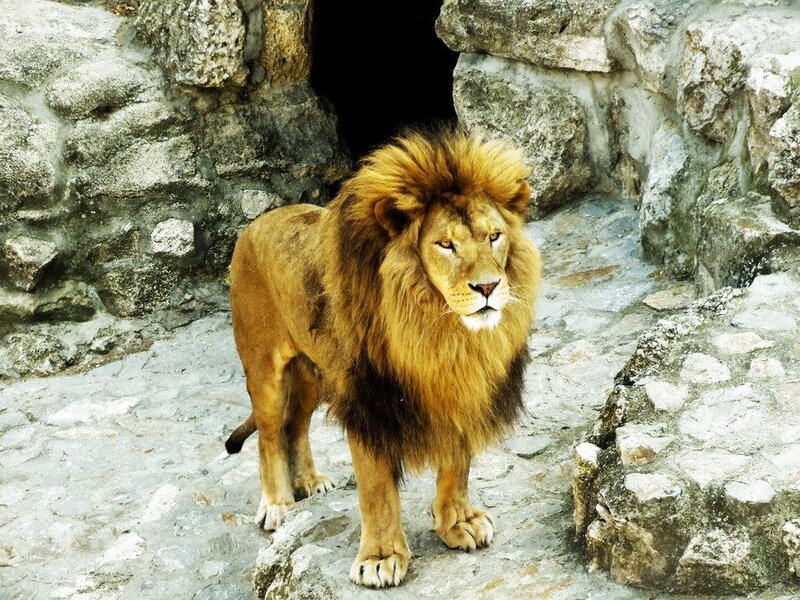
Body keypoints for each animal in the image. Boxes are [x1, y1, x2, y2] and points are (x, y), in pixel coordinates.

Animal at [224, 128, 541, 588]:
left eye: (494, 236)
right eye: (446, 245)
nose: (488, 287)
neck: (440, 335)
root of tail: (255, 224)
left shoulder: (459, 386)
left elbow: (457, 463)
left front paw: (457, 522)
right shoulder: (368, 400)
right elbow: (376, 489)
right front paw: (381, 557)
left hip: (315, 375)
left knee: (294, 425)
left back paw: (311, 481)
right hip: (265, 367)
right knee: (269, 436)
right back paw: (279, 504)